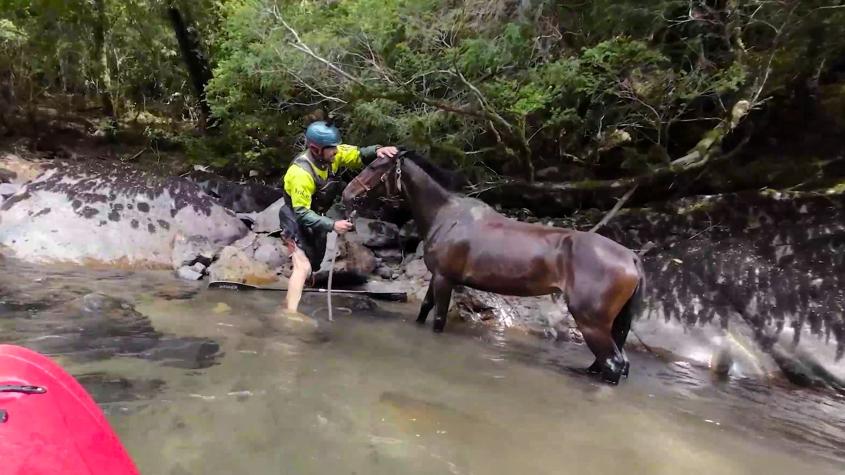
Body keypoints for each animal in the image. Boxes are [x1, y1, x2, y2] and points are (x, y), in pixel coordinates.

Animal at [342, 151, 646, 384]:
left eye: (374, 167)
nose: (347, 193)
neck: (447, 216)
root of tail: (631, 257)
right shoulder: (437, 276)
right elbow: (424, 309)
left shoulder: (444, 279)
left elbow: (437, 319)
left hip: (591, 322)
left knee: (613, 364)